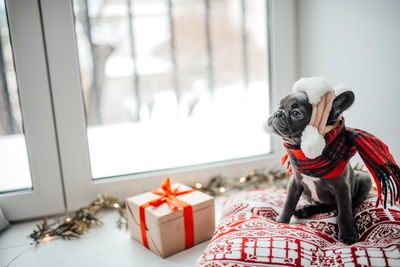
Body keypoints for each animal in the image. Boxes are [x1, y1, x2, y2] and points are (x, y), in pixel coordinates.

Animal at [266, 89, 372, 245]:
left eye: (296, 114)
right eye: (279, 104)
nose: (277, 113)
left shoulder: (342, 188)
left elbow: (345, 212)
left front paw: (348, 235)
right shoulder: (295, 182)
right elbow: (289, 202)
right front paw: (281, 220)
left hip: (365, 179)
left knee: (346, 205)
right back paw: (305, 209)